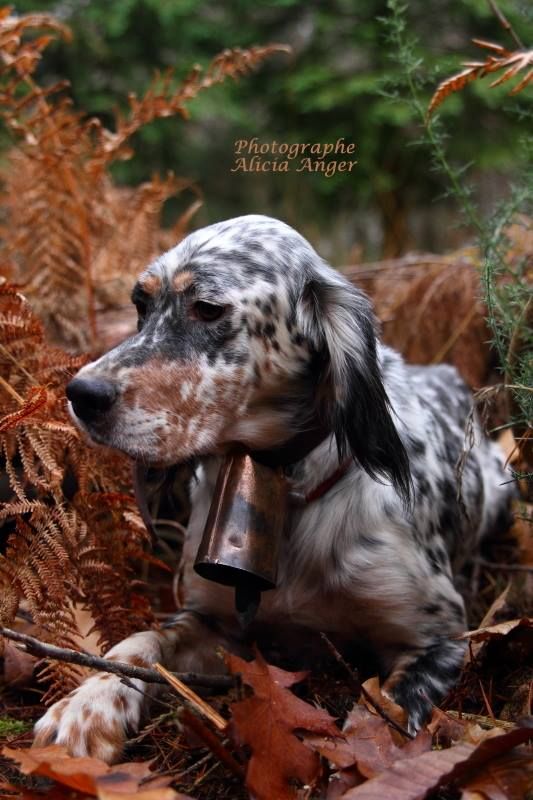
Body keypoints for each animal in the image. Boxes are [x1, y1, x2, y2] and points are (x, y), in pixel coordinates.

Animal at [33, 216, 512, 760]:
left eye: (207, 308)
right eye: (141, 304)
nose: (81, 394)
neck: (290, 489)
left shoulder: (441, 637)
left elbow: (388, 715)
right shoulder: (212, 621)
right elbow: (141, 644)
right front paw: (87, 703)